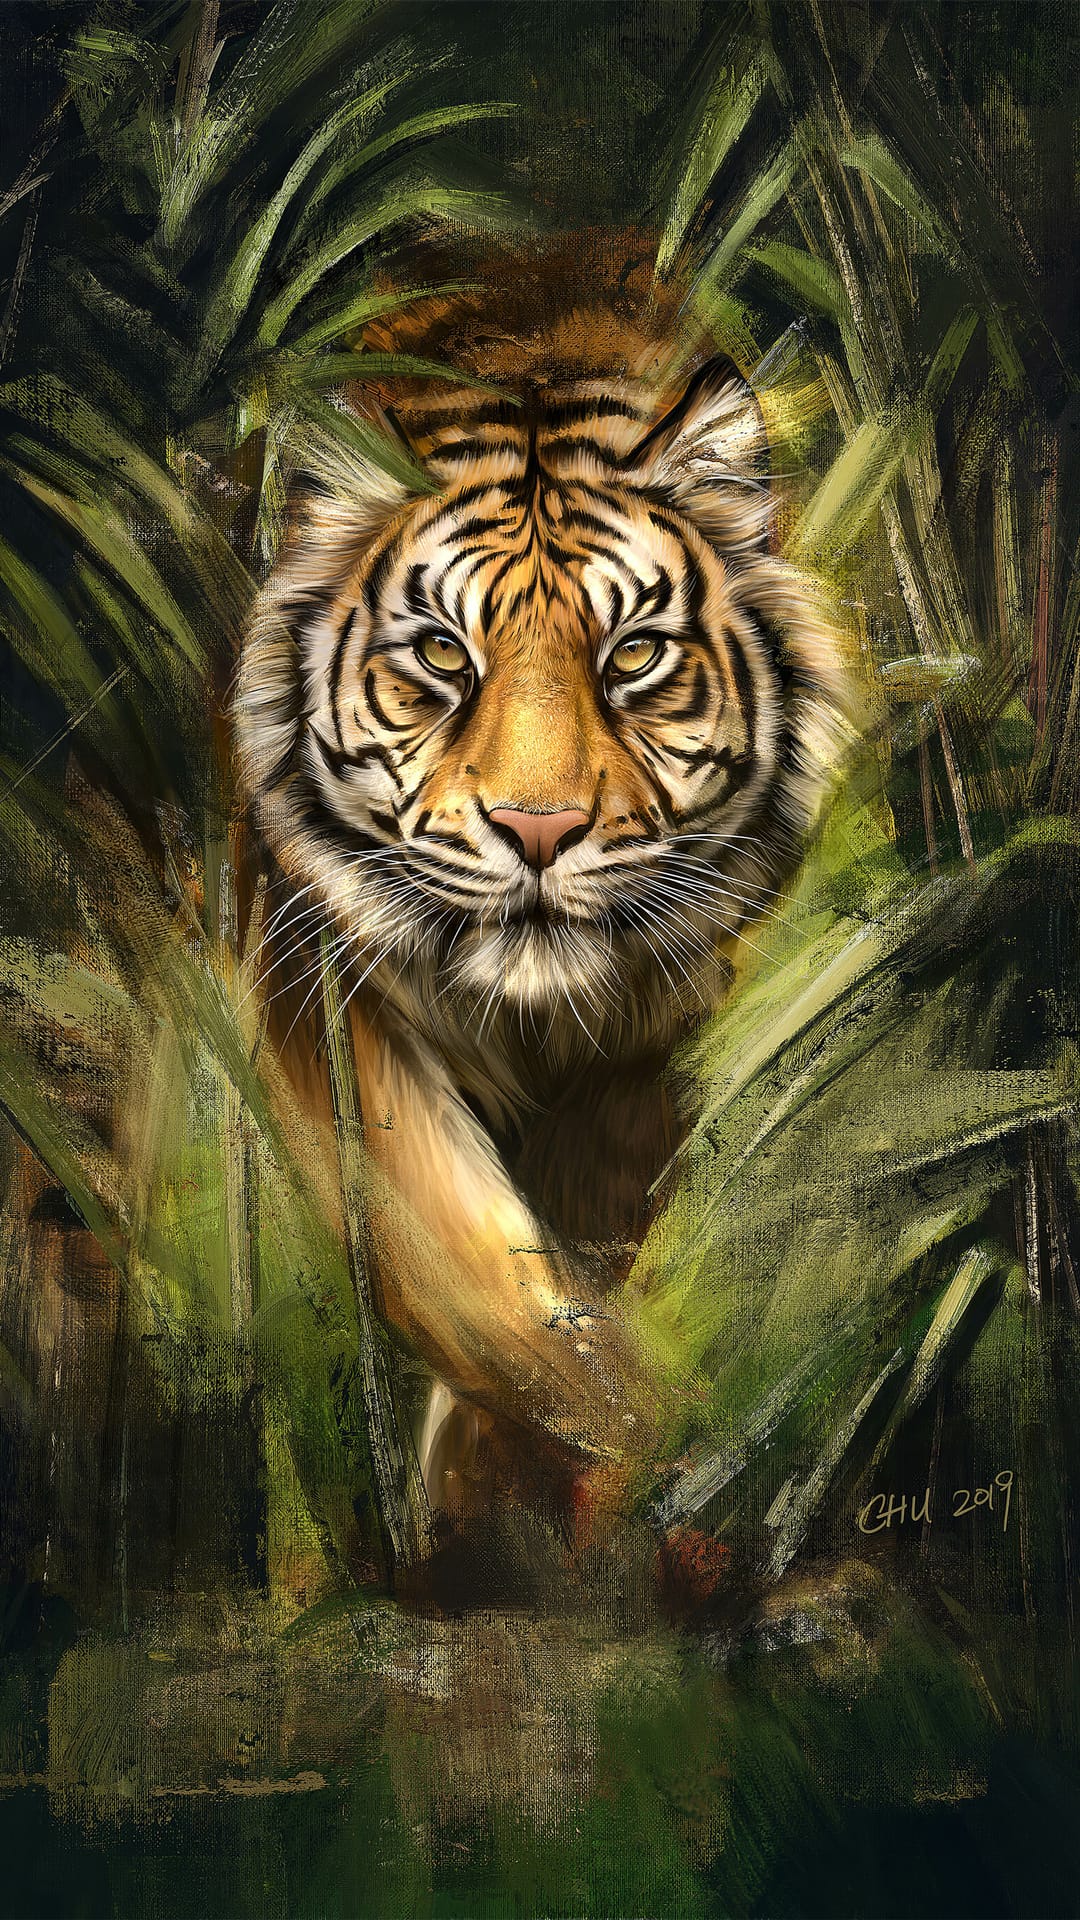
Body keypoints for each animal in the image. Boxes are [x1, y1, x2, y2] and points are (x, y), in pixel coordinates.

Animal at [234, 235, 852, 1549]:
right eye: (440, 654)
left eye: (635, 655)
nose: (539, 828)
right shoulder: (325, 987)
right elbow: (467, 1263)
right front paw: (636, 1441)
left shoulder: (648, 1040)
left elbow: (571, 1259)